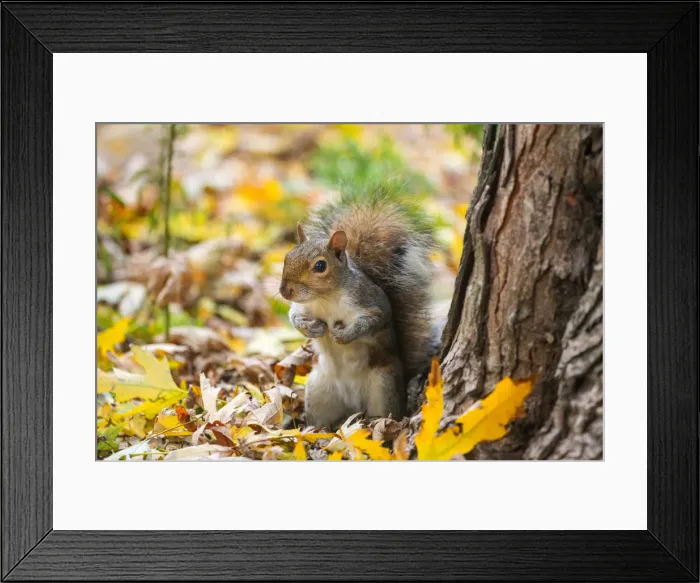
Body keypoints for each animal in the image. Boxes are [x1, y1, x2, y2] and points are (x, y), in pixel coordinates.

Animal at [279, 183, 435, 429]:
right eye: (287, 257)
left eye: (320, 266)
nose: (285, 291)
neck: (324, 299)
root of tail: (353, 406)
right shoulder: (302, 307)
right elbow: (294, 316)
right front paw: (311, 329)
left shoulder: (372, 303)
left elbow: (374, 320)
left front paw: (344, 335)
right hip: (318, 390)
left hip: (383, 386)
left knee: (385, 412)